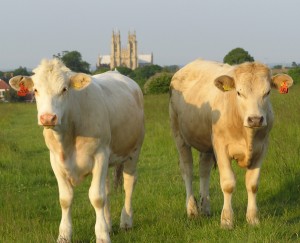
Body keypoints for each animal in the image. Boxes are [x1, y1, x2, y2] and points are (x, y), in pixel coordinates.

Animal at [8, 59, 145, 243]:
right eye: (35, 90)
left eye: (64, 89)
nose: (48, 118)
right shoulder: (55, 161)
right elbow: (66, 199)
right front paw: (64, 235)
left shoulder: (100, 155)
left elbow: (97, 197)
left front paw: (102, 236)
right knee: (107, 188)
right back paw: (109, 224)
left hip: (134, 150)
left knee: (129, 183)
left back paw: (126, 221)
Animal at [169, 58, 292, 228]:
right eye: (239, 92)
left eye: (267, 92)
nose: (255, 119)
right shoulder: (221, 147)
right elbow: (228, 184)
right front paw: (227, 220)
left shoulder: (262, 148)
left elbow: (252, 184)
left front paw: (253, 219)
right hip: (179, 135)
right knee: (187, 170)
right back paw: (192, 210)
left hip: (206, 143)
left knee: (204, 170)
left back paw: (205, 208)